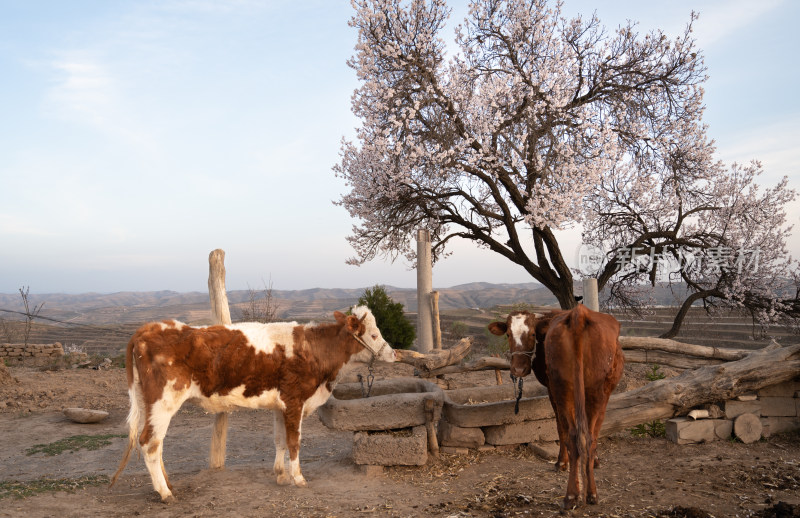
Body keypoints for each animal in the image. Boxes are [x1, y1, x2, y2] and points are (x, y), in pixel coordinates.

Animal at [109, 306, 396, 506]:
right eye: (373, 334)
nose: (393, 353)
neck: (314, 351)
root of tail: (148, 328)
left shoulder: (281, 406)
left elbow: (280, 440)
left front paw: (281, 475)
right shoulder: (295, 401)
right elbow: (294, 442)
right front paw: (298, 478)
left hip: (150, 404)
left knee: (155, 443)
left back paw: (168, 484)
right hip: (163, 401)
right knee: (149, 442)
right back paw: (165, 492)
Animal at [488, 306, 624, 510]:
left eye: (532, 333)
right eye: (508, 335)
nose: (519, 370)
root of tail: (578, 314)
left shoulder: (551, 389)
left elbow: (560, 428)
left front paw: (561, 462)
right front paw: (593, 461)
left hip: (563, 389)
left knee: (573, 434)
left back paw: (571, 495)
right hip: (597, 391)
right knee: (589, 437)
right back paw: (591, 493)